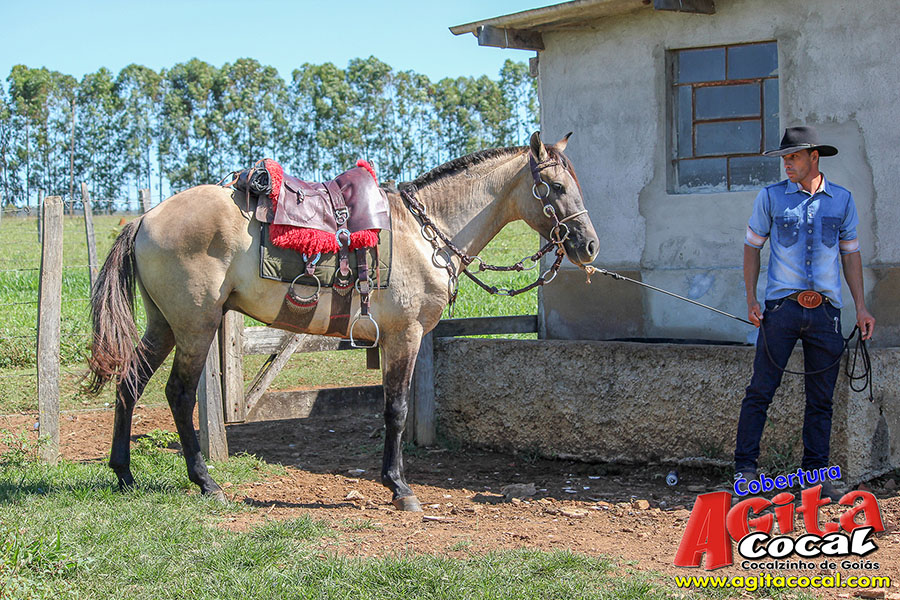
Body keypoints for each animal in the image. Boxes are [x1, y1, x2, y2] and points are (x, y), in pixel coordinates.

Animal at [87, 131, 599, 511]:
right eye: (555, 187)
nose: (589, 246)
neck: (422, 234)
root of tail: (145, 218)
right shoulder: (405, 336)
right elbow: (396, 410)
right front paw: (399, 487)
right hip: (195, 326)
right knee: (178, 393)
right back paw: (206, 483)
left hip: (164, 325)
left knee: (130, 384)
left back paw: (124, 473)